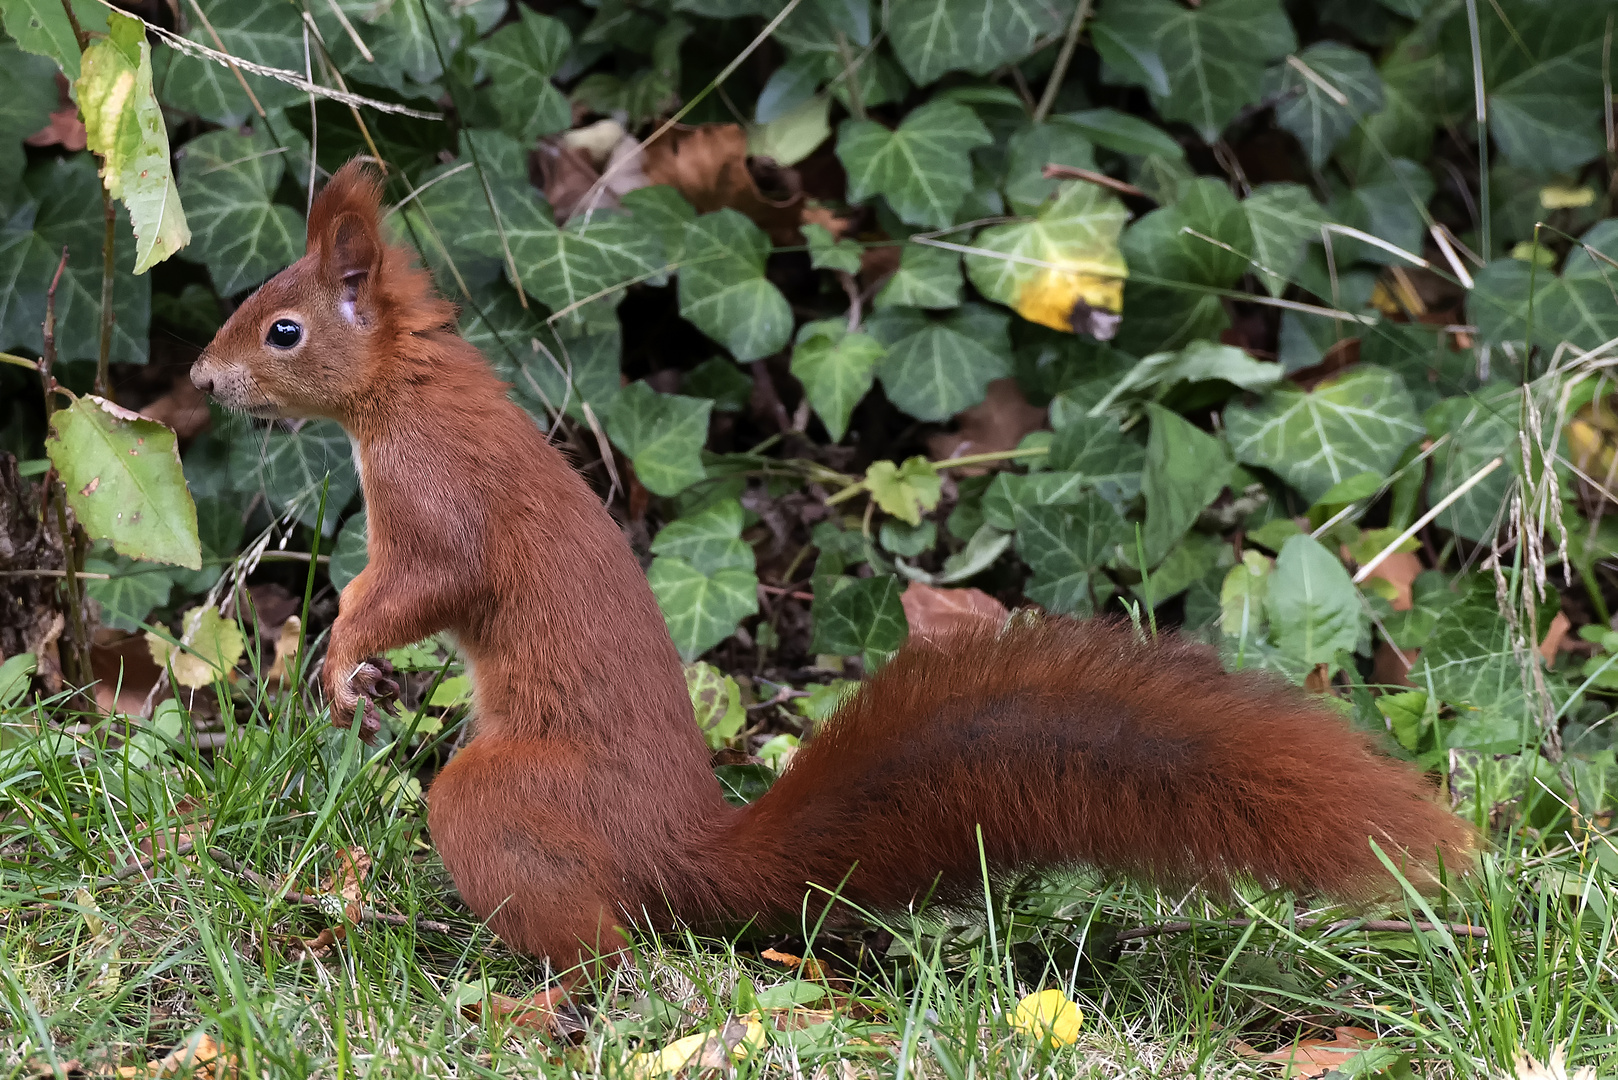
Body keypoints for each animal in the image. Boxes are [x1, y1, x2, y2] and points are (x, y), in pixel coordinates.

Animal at [192, 158, 1482, 990]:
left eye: (283, 331)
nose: (200, 383)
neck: (405, 392)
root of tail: (680, 852)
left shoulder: (441, 507)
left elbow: (418, 590)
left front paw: (341, 657)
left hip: (511, 803)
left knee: (611, 952)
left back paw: (541, 1000)